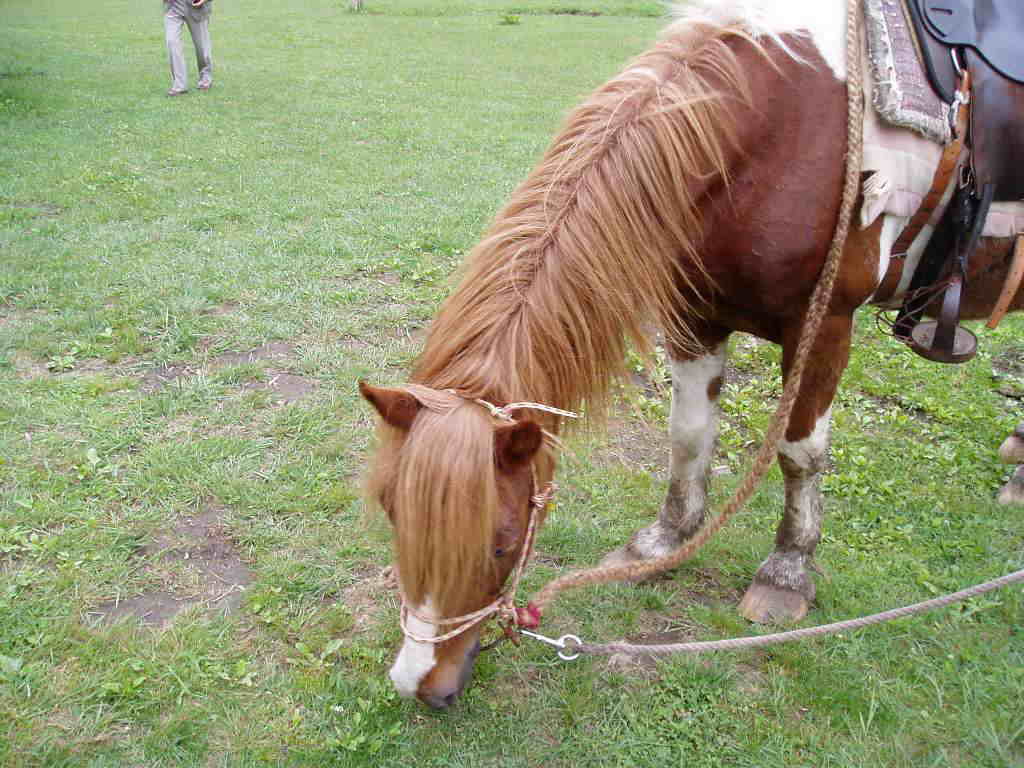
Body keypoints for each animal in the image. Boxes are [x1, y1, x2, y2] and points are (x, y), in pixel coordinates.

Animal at [360, 0, 1024, 709]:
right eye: (393, 516)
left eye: (501, 546)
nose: (417, 684)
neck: (780, 131)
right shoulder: (694, 316)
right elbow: (688, 435)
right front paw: (664, 541)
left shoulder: (825, 326)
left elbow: (799, 453)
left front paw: (787, 572)